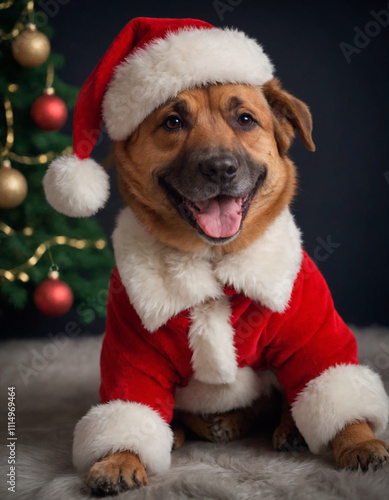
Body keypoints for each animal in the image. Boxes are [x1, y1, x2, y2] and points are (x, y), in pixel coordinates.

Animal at [42, 16, 388, 500]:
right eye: (173, 121)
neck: (212, 261)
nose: (221, 168)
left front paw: (358, 440)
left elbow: (333, 385)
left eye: (245, 119)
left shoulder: (312, 331)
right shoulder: (131, 350)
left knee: (282, 399)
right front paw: (119, 457)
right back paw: (198, 425)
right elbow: (130, 407)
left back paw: (285, 428)